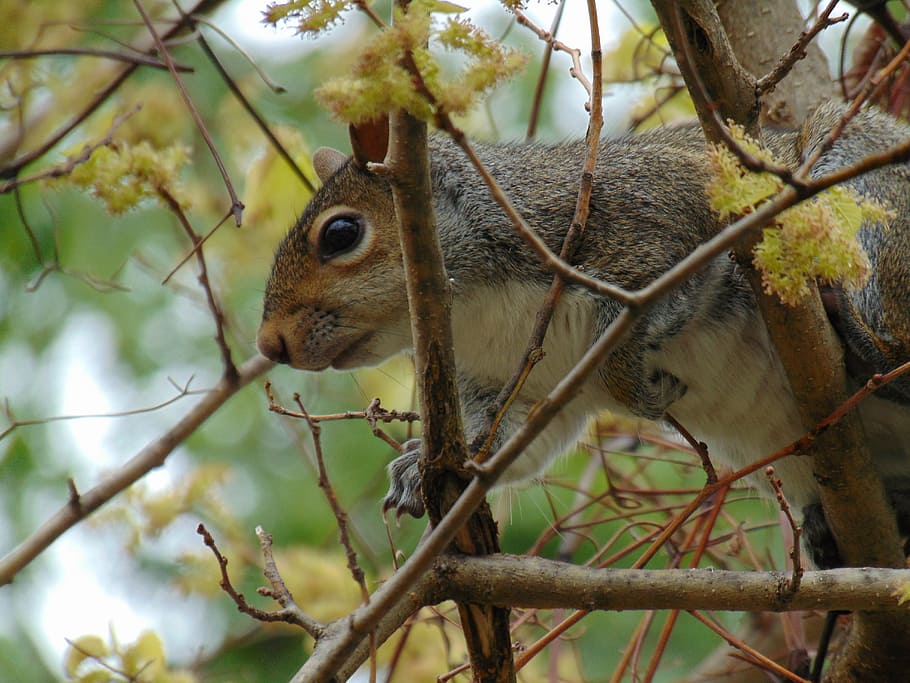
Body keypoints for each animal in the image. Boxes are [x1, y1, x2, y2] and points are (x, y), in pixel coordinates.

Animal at [257, 103, 910, 568]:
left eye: (341, 234)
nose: (270, 345)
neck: (478, 309)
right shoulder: (525, 385)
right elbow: (505, 445)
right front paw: (419, 467)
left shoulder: (666, 221)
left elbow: (636, 340)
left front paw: (645, 393)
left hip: (867, 204)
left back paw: (857, 338)